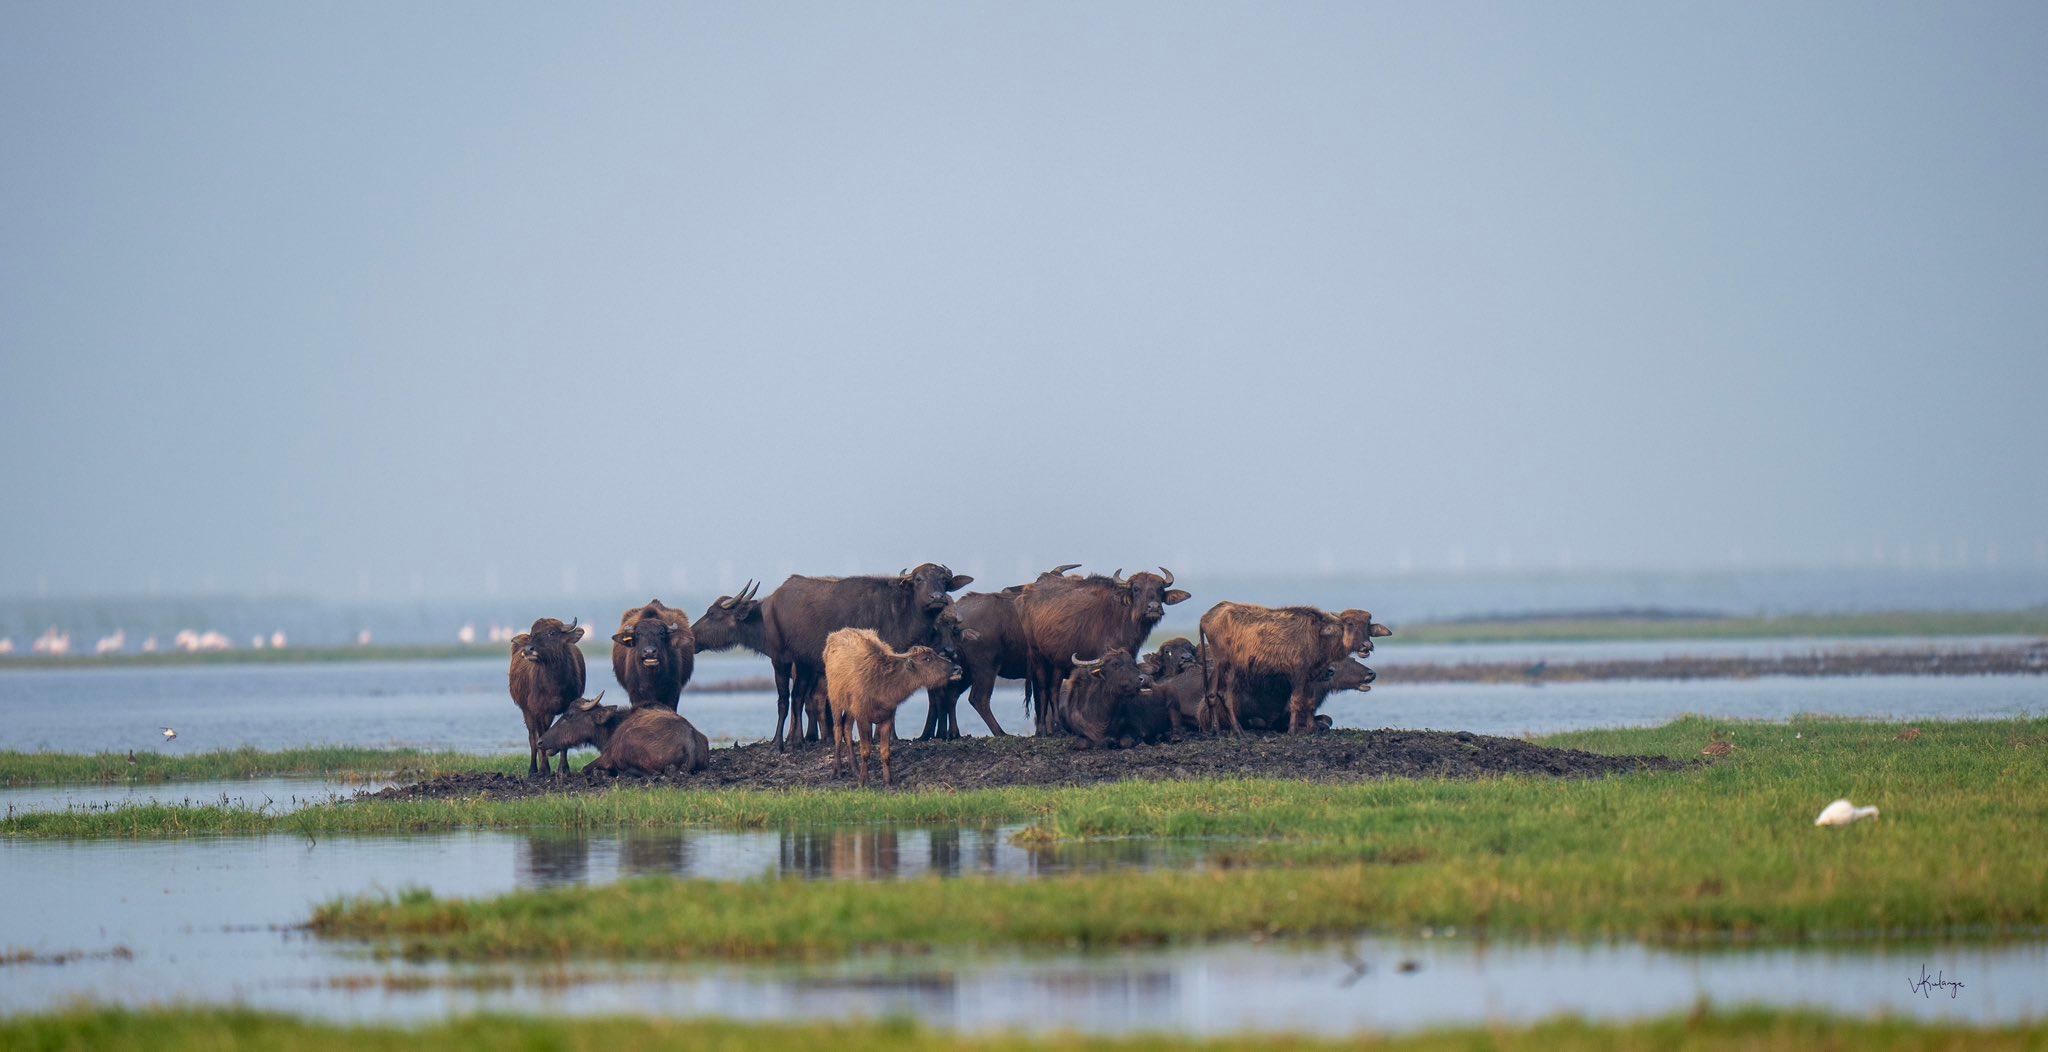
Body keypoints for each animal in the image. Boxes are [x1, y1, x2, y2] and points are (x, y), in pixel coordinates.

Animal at [508, 616, 588, 776]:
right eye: (533, 634)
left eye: (551, 633)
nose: (528, 650)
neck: (554, 684)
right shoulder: (538, 710)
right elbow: (540, 737)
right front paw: (544, 769)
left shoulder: (567, 708)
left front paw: (564, 769)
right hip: (527, 711)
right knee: (533, 738)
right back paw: (533, 769)